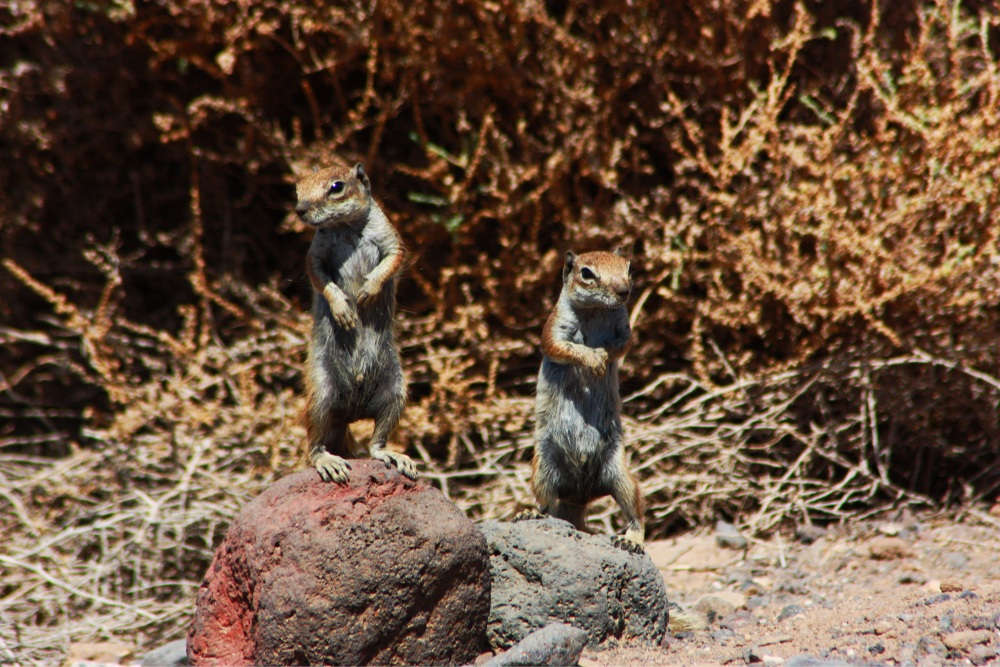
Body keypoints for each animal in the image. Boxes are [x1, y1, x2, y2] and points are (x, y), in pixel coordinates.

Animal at [298, 163, 420, 486]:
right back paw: (328, 461)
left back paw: (393, 455)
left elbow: (393, 259)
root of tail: (349, 414)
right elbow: (319, 277)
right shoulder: (315, 253)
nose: (299, 209)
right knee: (314, 445)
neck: (346, 227)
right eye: (298, 188)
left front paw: (369, 290)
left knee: (377, 440)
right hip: (322, 391)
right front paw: (343, 309)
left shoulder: (391, 237)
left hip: (395, 392)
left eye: (336, 187)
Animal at [516, 249, 648, 552]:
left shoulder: (624, 328)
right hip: (544, 467)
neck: (596, 311)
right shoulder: (554, 326)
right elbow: (561, 346)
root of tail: (578, 497)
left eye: (629, 267)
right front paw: (592, 358)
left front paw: (603, 355)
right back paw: (531, 512)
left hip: (620, 473)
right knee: (547, 504)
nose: (624, 291)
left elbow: (622, 344)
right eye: (587, 273)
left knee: (634, 511)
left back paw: (631, 539)